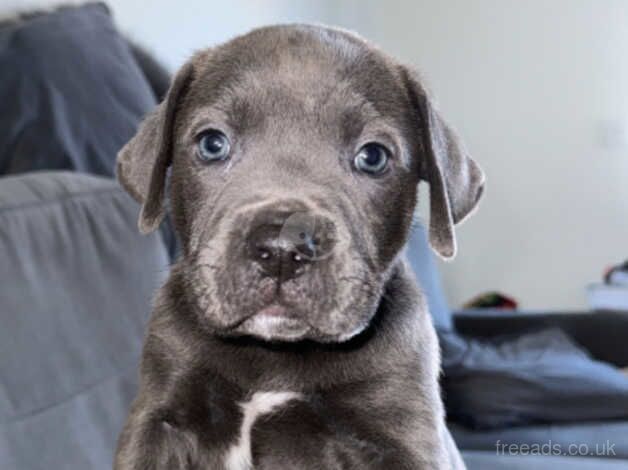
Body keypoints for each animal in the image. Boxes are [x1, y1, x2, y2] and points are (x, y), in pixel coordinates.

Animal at [114, 23, 486, 470]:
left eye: (373, 156)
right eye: (212, 144)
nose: (281, 249)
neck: (274, 356)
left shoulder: (405, 435)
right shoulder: (155, 420)